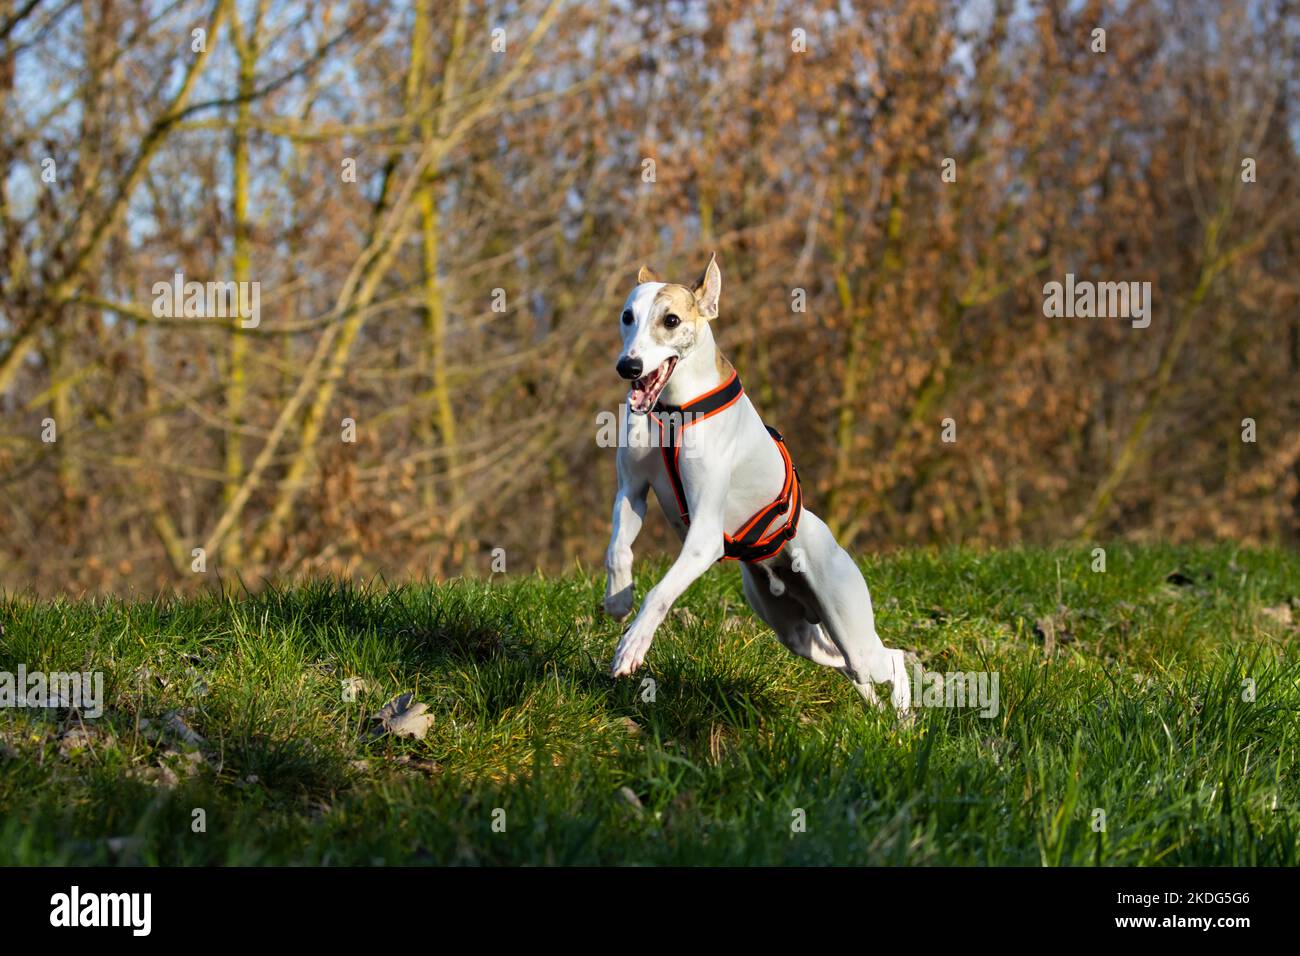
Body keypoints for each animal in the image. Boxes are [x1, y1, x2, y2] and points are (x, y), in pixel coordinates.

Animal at [603, 251, 909, 712]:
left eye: (671, 320)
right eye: (626, 316)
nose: (628, 367)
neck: (675, 409)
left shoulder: (704, 537)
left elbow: (660, 593)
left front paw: (632, 645)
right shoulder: (632, 492)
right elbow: (618, 549)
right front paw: (619, 598)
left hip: (847, 619)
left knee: (893, 657)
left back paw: (906, 716)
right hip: (795, 632)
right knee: (849, 666)